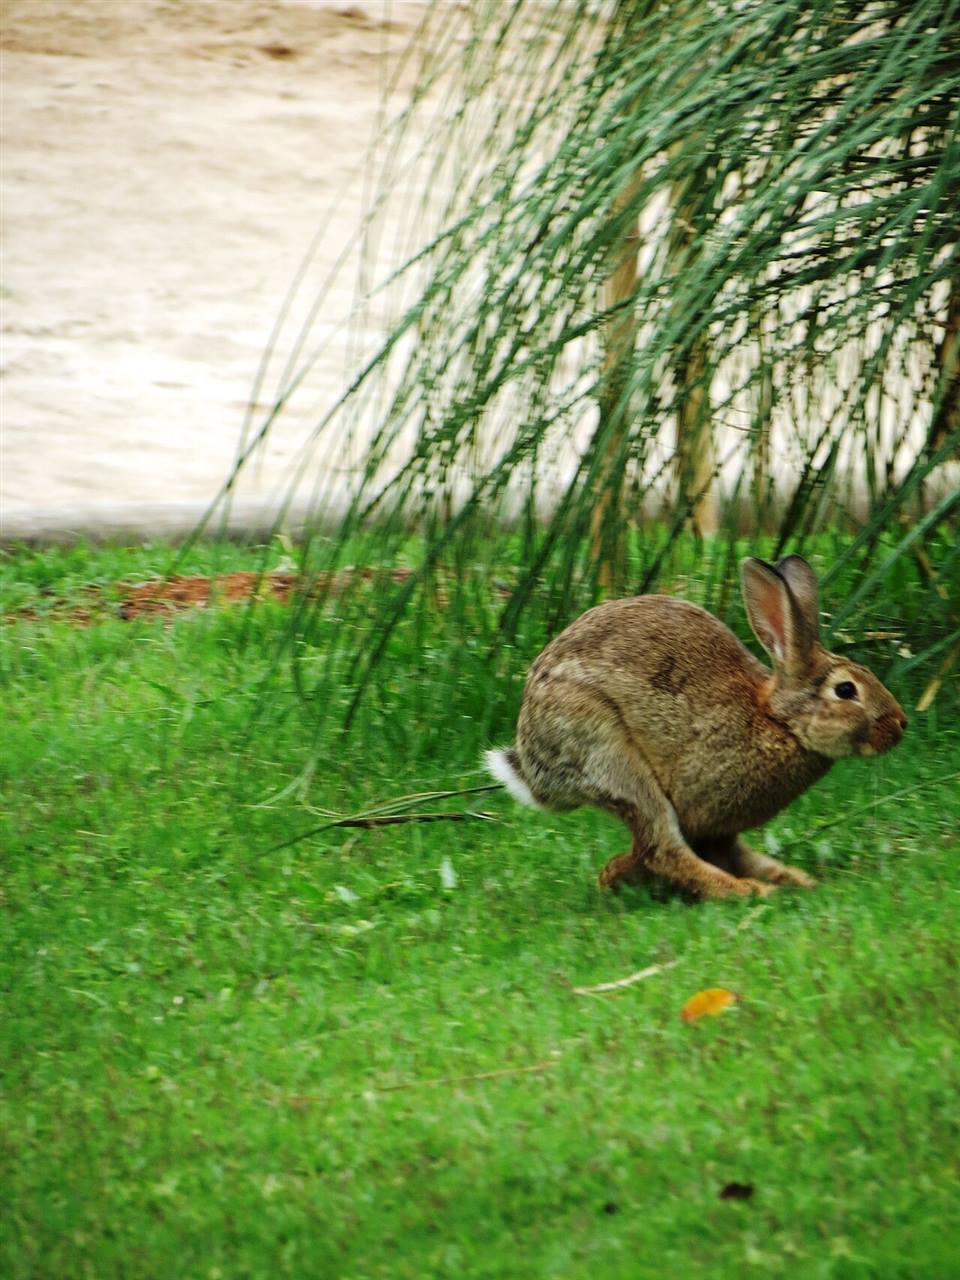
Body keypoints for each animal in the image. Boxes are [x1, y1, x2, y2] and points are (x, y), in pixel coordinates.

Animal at [486, 555, 907, 899]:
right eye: (846, 690)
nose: (900, 726)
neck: (780, 722)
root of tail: (532, 764)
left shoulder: (718, 827)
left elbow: (729, 849)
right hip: (609, 759)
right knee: (661, 847)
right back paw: (745, 891)